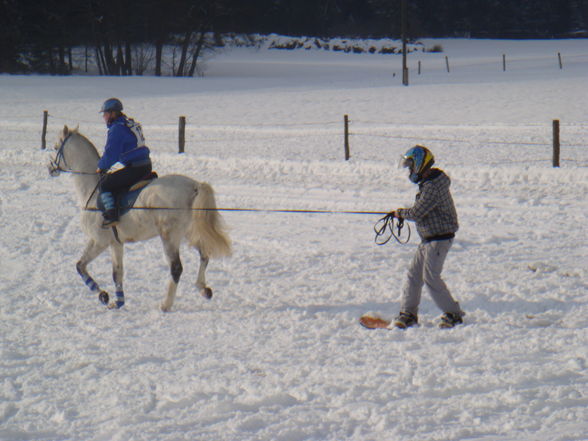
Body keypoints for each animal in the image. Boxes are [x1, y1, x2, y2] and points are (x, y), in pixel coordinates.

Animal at [48, 124, 232, 310]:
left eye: (56, 147)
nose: (50, 168)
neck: (92, 192)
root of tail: (194, 186)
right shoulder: (114, 243)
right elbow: (98, 269)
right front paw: (112, 299)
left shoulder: (101, 241)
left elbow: (92, 269)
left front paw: (106, 297)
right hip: (188, 232)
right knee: (204, 254)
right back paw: (203, 289)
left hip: (169, 236)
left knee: (176, 268)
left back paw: (166, 304)